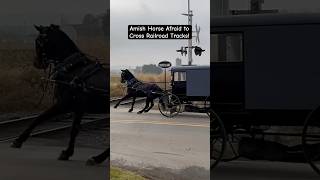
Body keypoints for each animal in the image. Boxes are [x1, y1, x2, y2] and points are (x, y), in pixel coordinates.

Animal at [10, 24, 109, 165]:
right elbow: (74, 129)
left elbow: (39, 118)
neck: (73, 69)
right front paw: (67, 152)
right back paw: (98, 158)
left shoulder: (63, 104)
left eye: (38, 41)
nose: (36, 62)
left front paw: (19, 140)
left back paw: (97, 158)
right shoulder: (78, 108)